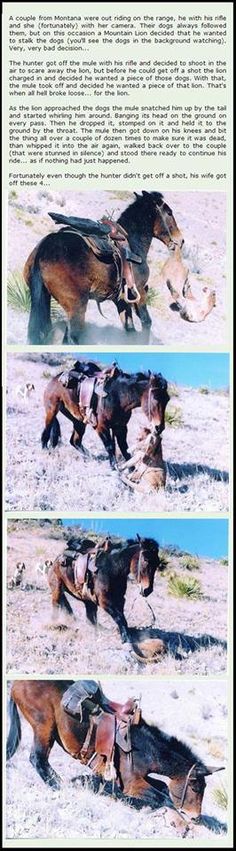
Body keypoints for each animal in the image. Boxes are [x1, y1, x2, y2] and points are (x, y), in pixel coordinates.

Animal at [6, 680, 223, 824]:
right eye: (195, 787)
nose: (195, 817)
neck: (146, 748)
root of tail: (16, 683)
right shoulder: (132, 783)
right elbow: (161, 797)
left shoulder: (138, 777)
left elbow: (162, 787)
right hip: (44, 727)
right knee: (38, 759)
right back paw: (60, 787)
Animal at [23, 191, 183, 344]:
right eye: (169, 213)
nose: (181, 240)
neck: (133, 243)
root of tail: (43, 250)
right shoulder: (139, 292)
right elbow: (146, 321)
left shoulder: (121, 300)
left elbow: (130, 328)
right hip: (76, 306)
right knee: (71, 338)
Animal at [40, 358, 170, 466]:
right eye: (155, 397)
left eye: (167, 399)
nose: (159, 427)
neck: (118, 396)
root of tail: (55, 378)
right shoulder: (101, 426)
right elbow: (110, 446)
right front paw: (114, 467)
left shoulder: (121, 427)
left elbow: (124, 448)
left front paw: (130, 468)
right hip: (52, 410)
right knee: (46, 433)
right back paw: (45, 451)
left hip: (78, 420)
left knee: (75, 441)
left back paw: (90, 457)